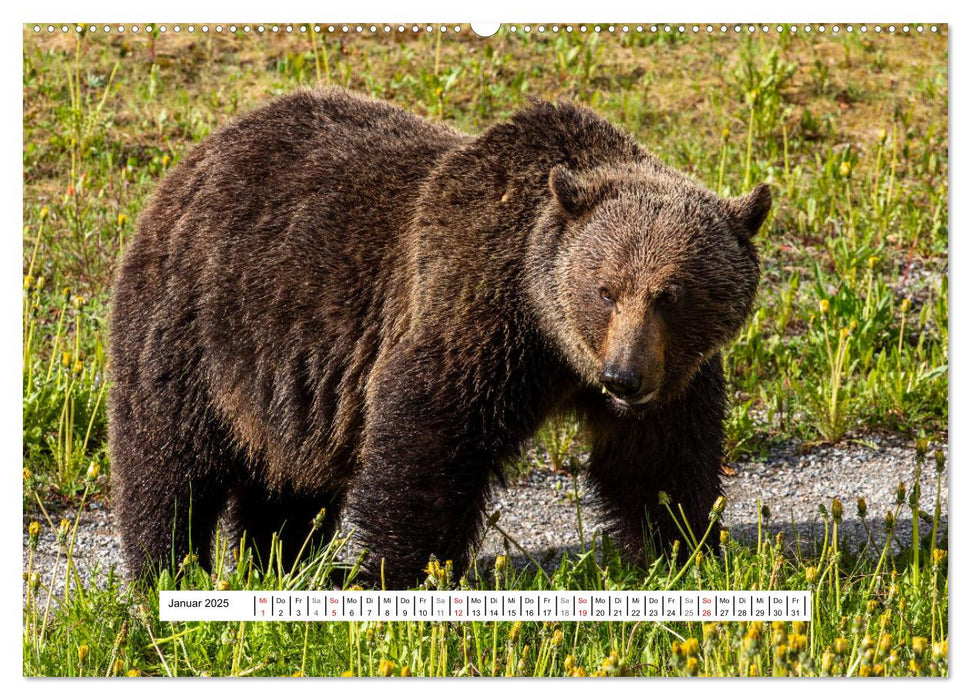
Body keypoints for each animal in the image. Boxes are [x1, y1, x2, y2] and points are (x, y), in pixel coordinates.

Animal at [108, 89, 776, 592]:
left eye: (671, 294)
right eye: (606, 289)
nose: (623, 378)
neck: (556, 346)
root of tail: (197, 155)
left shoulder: (671, 377)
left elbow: (660, 465)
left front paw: (680, 552)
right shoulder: (473, 314)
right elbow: (427, 447)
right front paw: (398, 575)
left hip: (282, 385)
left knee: (286, 480)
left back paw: (278, 562)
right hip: (194, 323)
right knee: (168, 457)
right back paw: (166, 571)